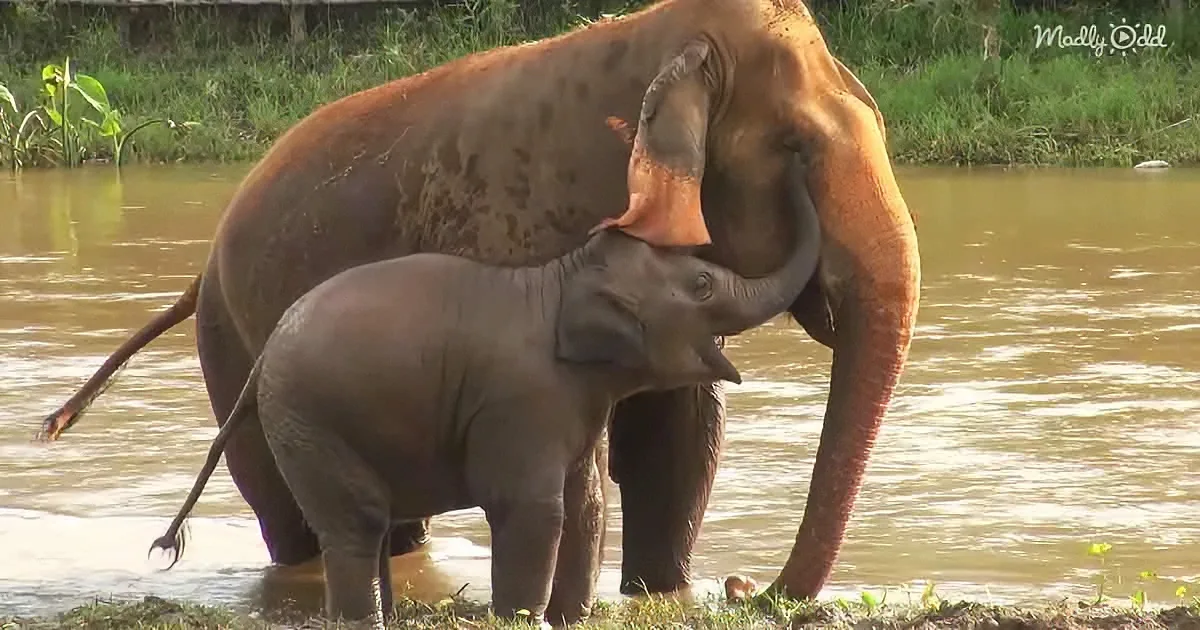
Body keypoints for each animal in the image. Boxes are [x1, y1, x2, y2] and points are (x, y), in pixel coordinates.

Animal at [147, 183, 822, 627]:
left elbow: (586, 503)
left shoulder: (572, 398)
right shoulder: (523, 399)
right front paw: (524, 618)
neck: (560, 278)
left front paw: (569, 618)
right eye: (703, 284)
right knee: (355, 523)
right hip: (307, 421)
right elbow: (533, 508)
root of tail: (267, 352)